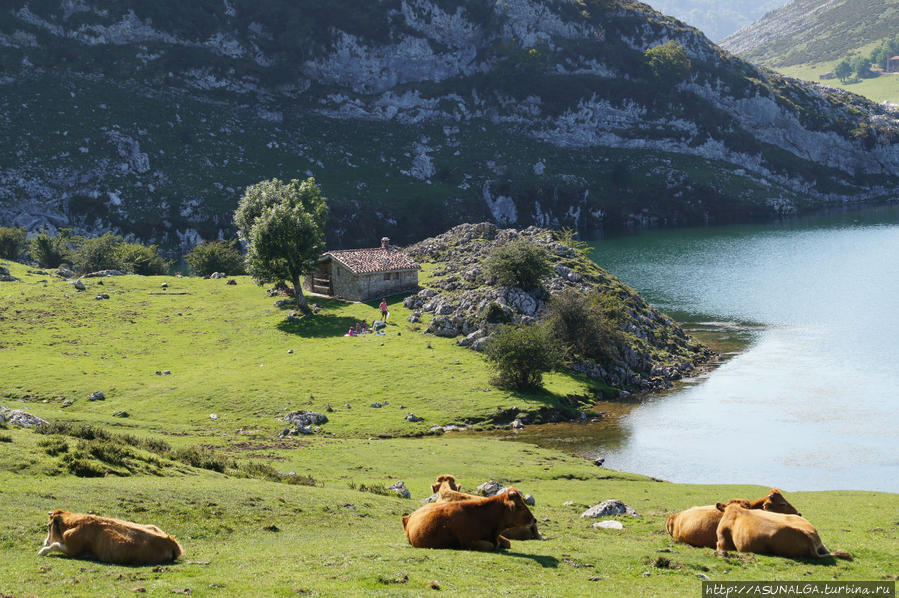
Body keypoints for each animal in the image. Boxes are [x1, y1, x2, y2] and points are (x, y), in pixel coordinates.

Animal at [38, 510, 183, 568]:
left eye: (48, 526)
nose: (45, 541)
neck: (74, 524)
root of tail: (170, 541)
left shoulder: (73, 550)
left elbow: (55, 545)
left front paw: (42, 551)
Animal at [404, 490, 536, 552]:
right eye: (520, 506)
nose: (534, 520)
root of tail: (409, 516)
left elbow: (507, 542)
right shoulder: (467, 542)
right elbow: (491, 545)